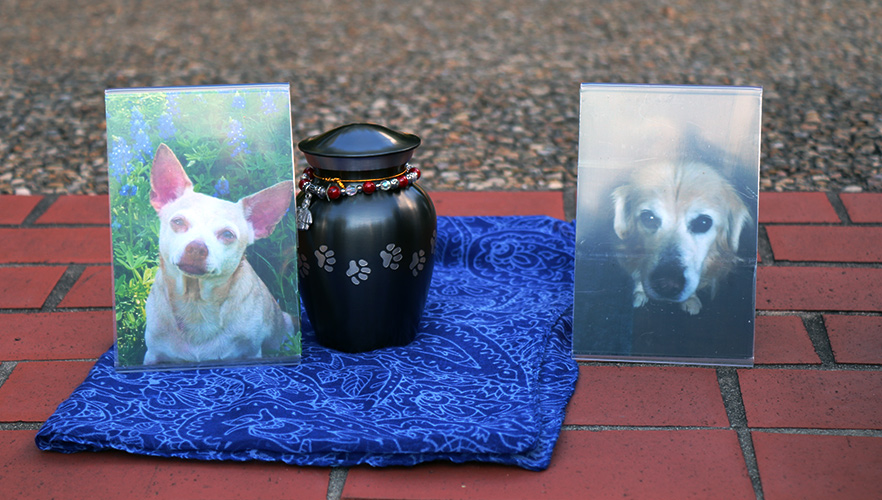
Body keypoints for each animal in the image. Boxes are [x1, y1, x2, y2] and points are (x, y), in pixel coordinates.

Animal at [143, 143, 294, 366]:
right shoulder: (152, 355)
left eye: (227, 235)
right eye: (178, 222)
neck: (195, 303)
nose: (197, 247)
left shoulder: (252, 352)